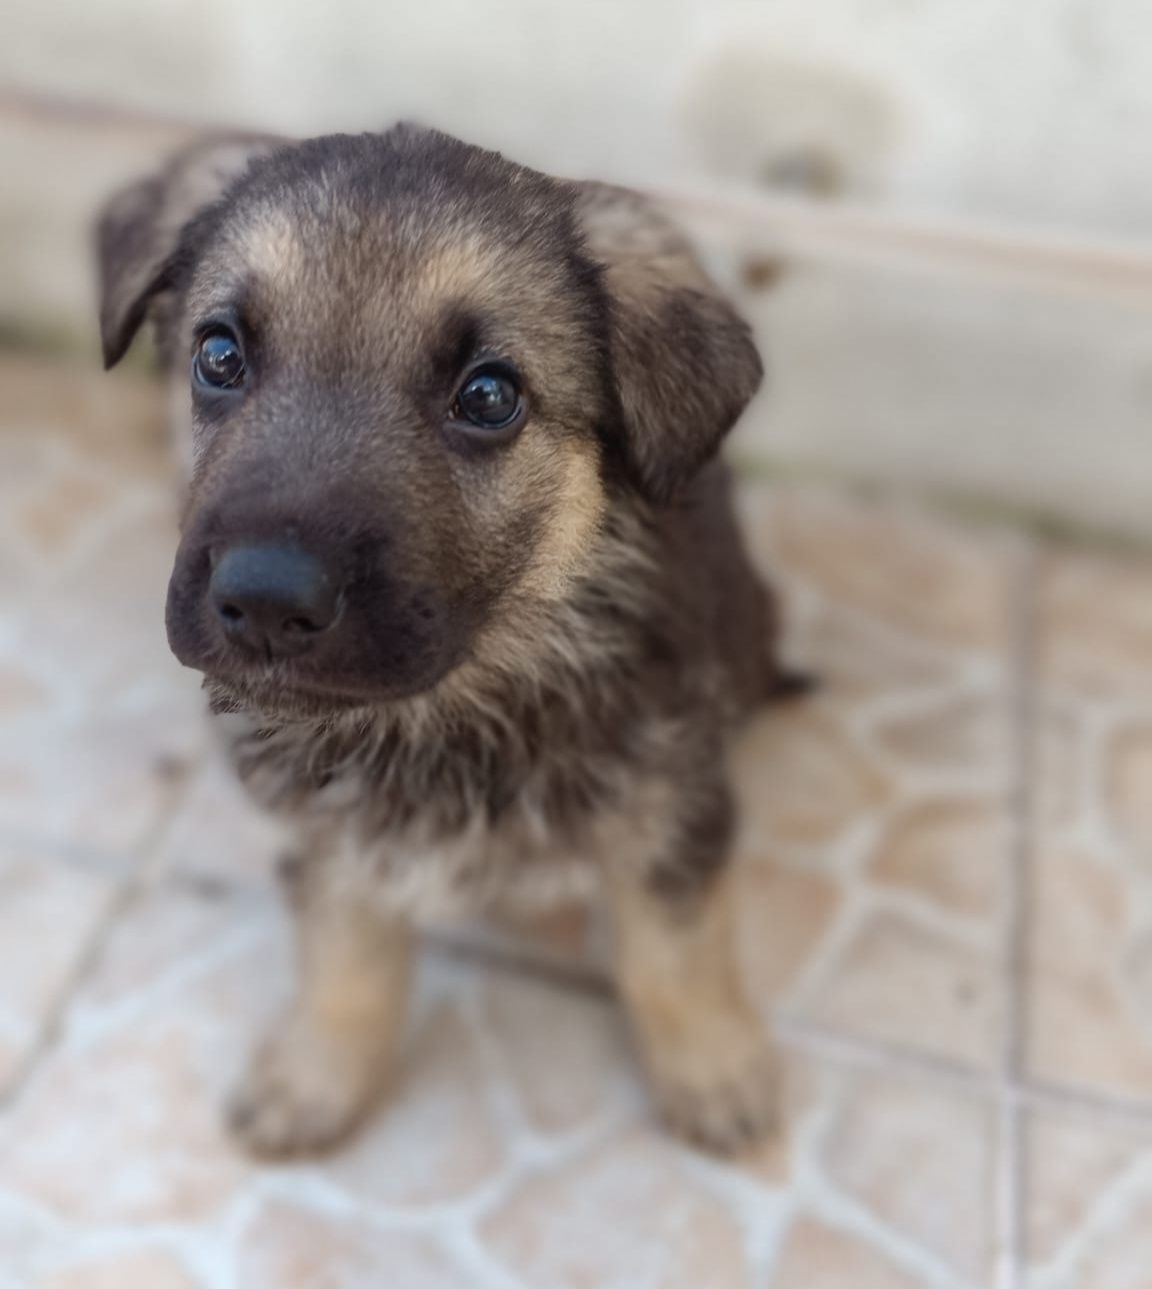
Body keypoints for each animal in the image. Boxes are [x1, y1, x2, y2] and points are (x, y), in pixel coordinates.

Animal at [96, 128, 804, 1160]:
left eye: (489, 396)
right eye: (219, 355)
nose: (265, 602)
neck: (444, 715)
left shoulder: (673, 811)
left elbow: (675, 952)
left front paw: (712, 1068)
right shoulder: (332, 837)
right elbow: (346, 954)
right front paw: (316, 1072)